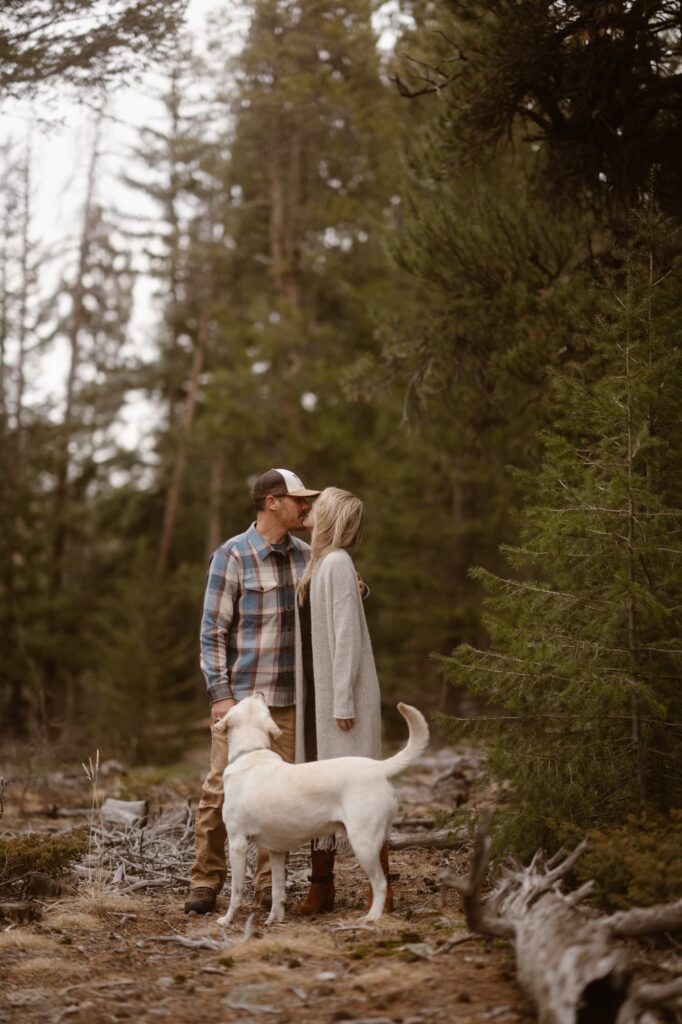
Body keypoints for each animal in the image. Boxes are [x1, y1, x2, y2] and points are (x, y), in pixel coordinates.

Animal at [214, 696, 425, 929]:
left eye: (244, 701)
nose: (258, 693)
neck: (251, 752)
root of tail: (378, 767)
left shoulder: (237, 844)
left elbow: (236, 891)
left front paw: (227, 919)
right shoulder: (276, 851)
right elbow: (278, 890)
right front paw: (274, 918)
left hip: (363, 843)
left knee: (380, 883)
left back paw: (372, 917)